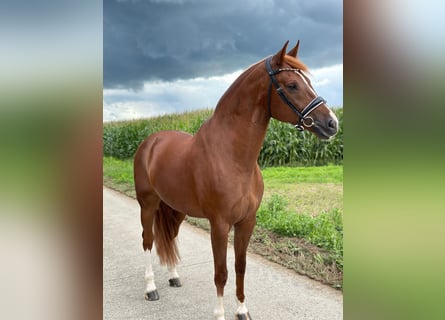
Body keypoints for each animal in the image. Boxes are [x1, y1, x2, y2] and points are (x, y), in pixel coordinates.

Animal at [134, 41, 338, 318]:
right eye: (292, 85)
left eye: (308, 82)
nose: (332, 123)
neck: (233, 158)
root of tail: (150, 142)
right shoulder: (219, 225)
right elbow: (221, 272)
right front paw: (220, 313)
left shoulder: (247, 221)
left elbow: (240, 266)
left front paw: (242, 309)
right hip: (148, 204)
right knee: (148, 240)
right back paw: (150, 288)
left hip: (176, 208)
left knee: (170, 236)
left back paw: (174, 276)